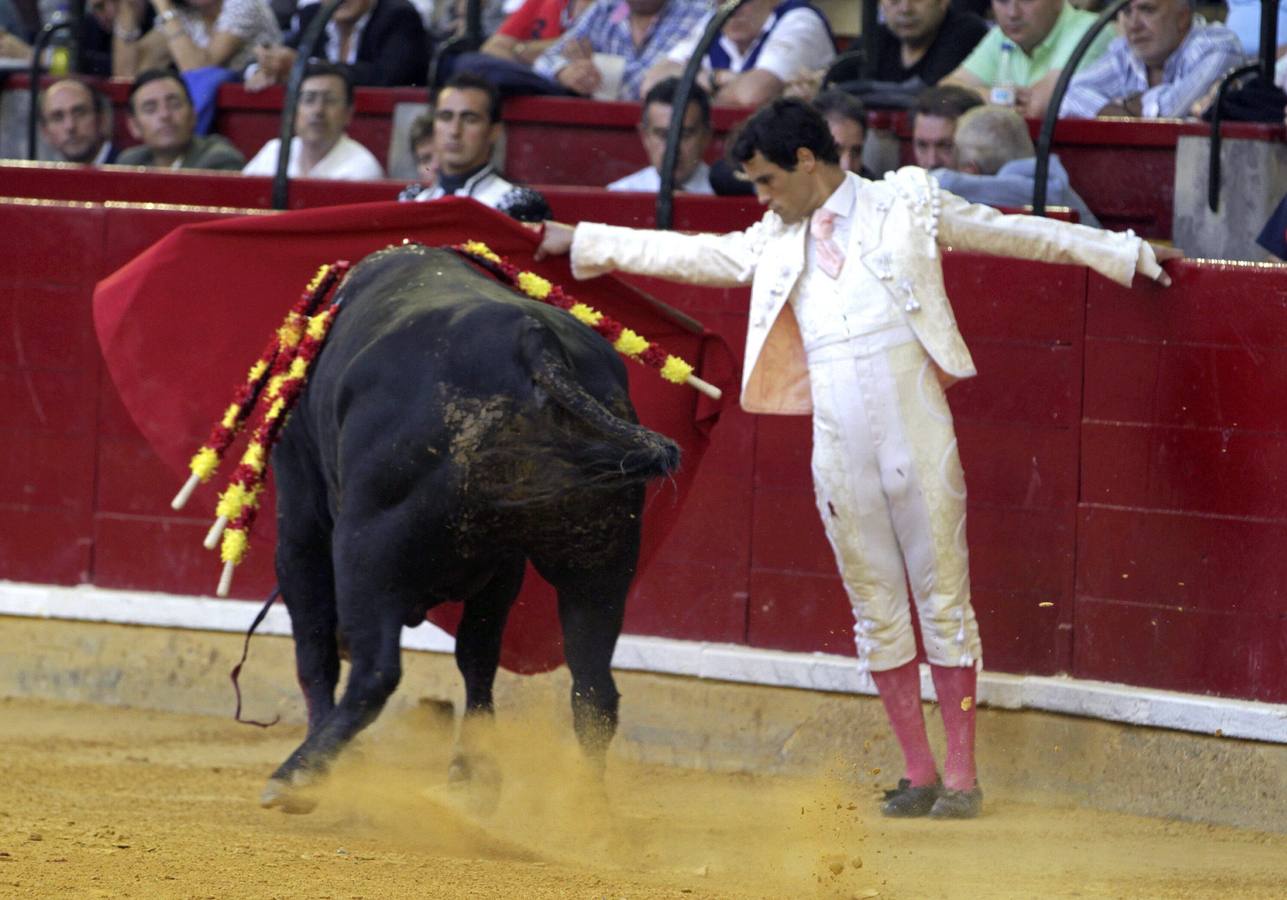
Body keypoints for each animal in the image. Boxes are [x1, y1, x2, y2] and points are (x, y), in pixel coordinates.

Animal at [262, 245, 684, 818]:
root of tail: (535, 342)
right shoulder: (502, 565)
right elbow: (478, 658)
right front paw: (474, 778)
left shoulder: (301, 514)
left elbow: (314, 645)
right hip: (601, 557)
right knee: (594, 689)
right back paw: (589, 814)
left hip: (363, 546)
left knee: (375, 671)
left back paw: (296, 775)